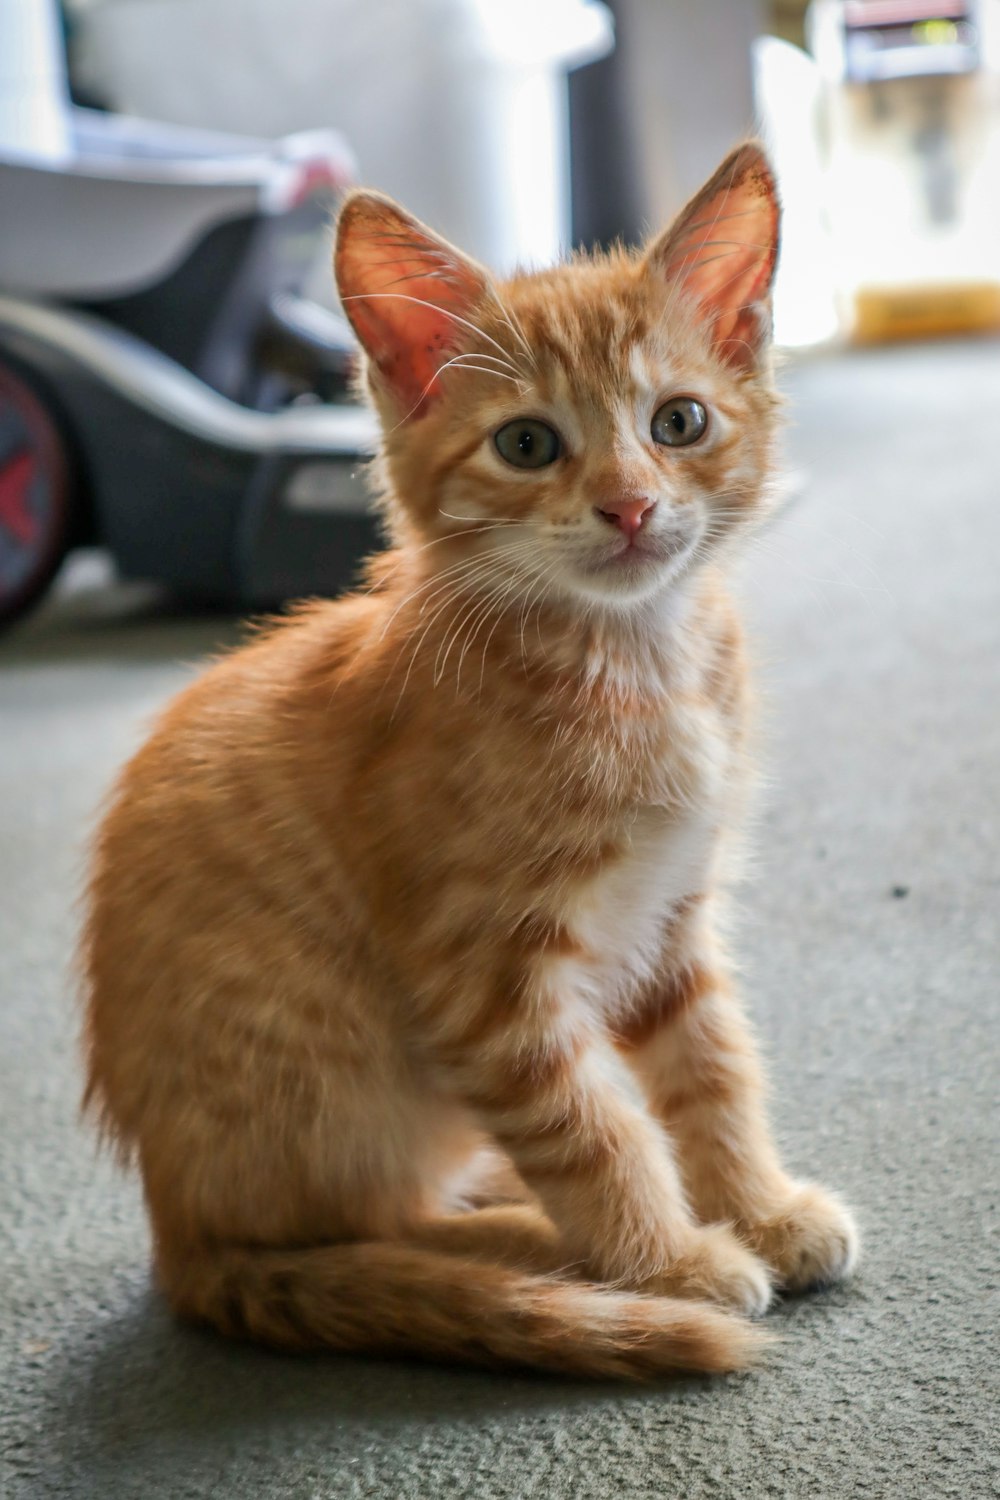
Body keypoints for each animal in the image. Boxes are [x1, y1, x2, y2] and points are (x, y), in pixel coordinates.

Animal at [82, 146, 857, 1374]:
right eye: (527, 443)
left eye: (679, 421)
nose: (629, 505)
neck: (634, 666)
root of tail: (179, 1235)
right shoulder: (484, 982)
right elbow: (592, 1129)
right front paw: (667, 1259)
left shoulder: (670, 919)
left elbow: (712, 1070)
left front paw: (756, 1204)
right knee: (370, 1233)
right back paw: (539, 1245)